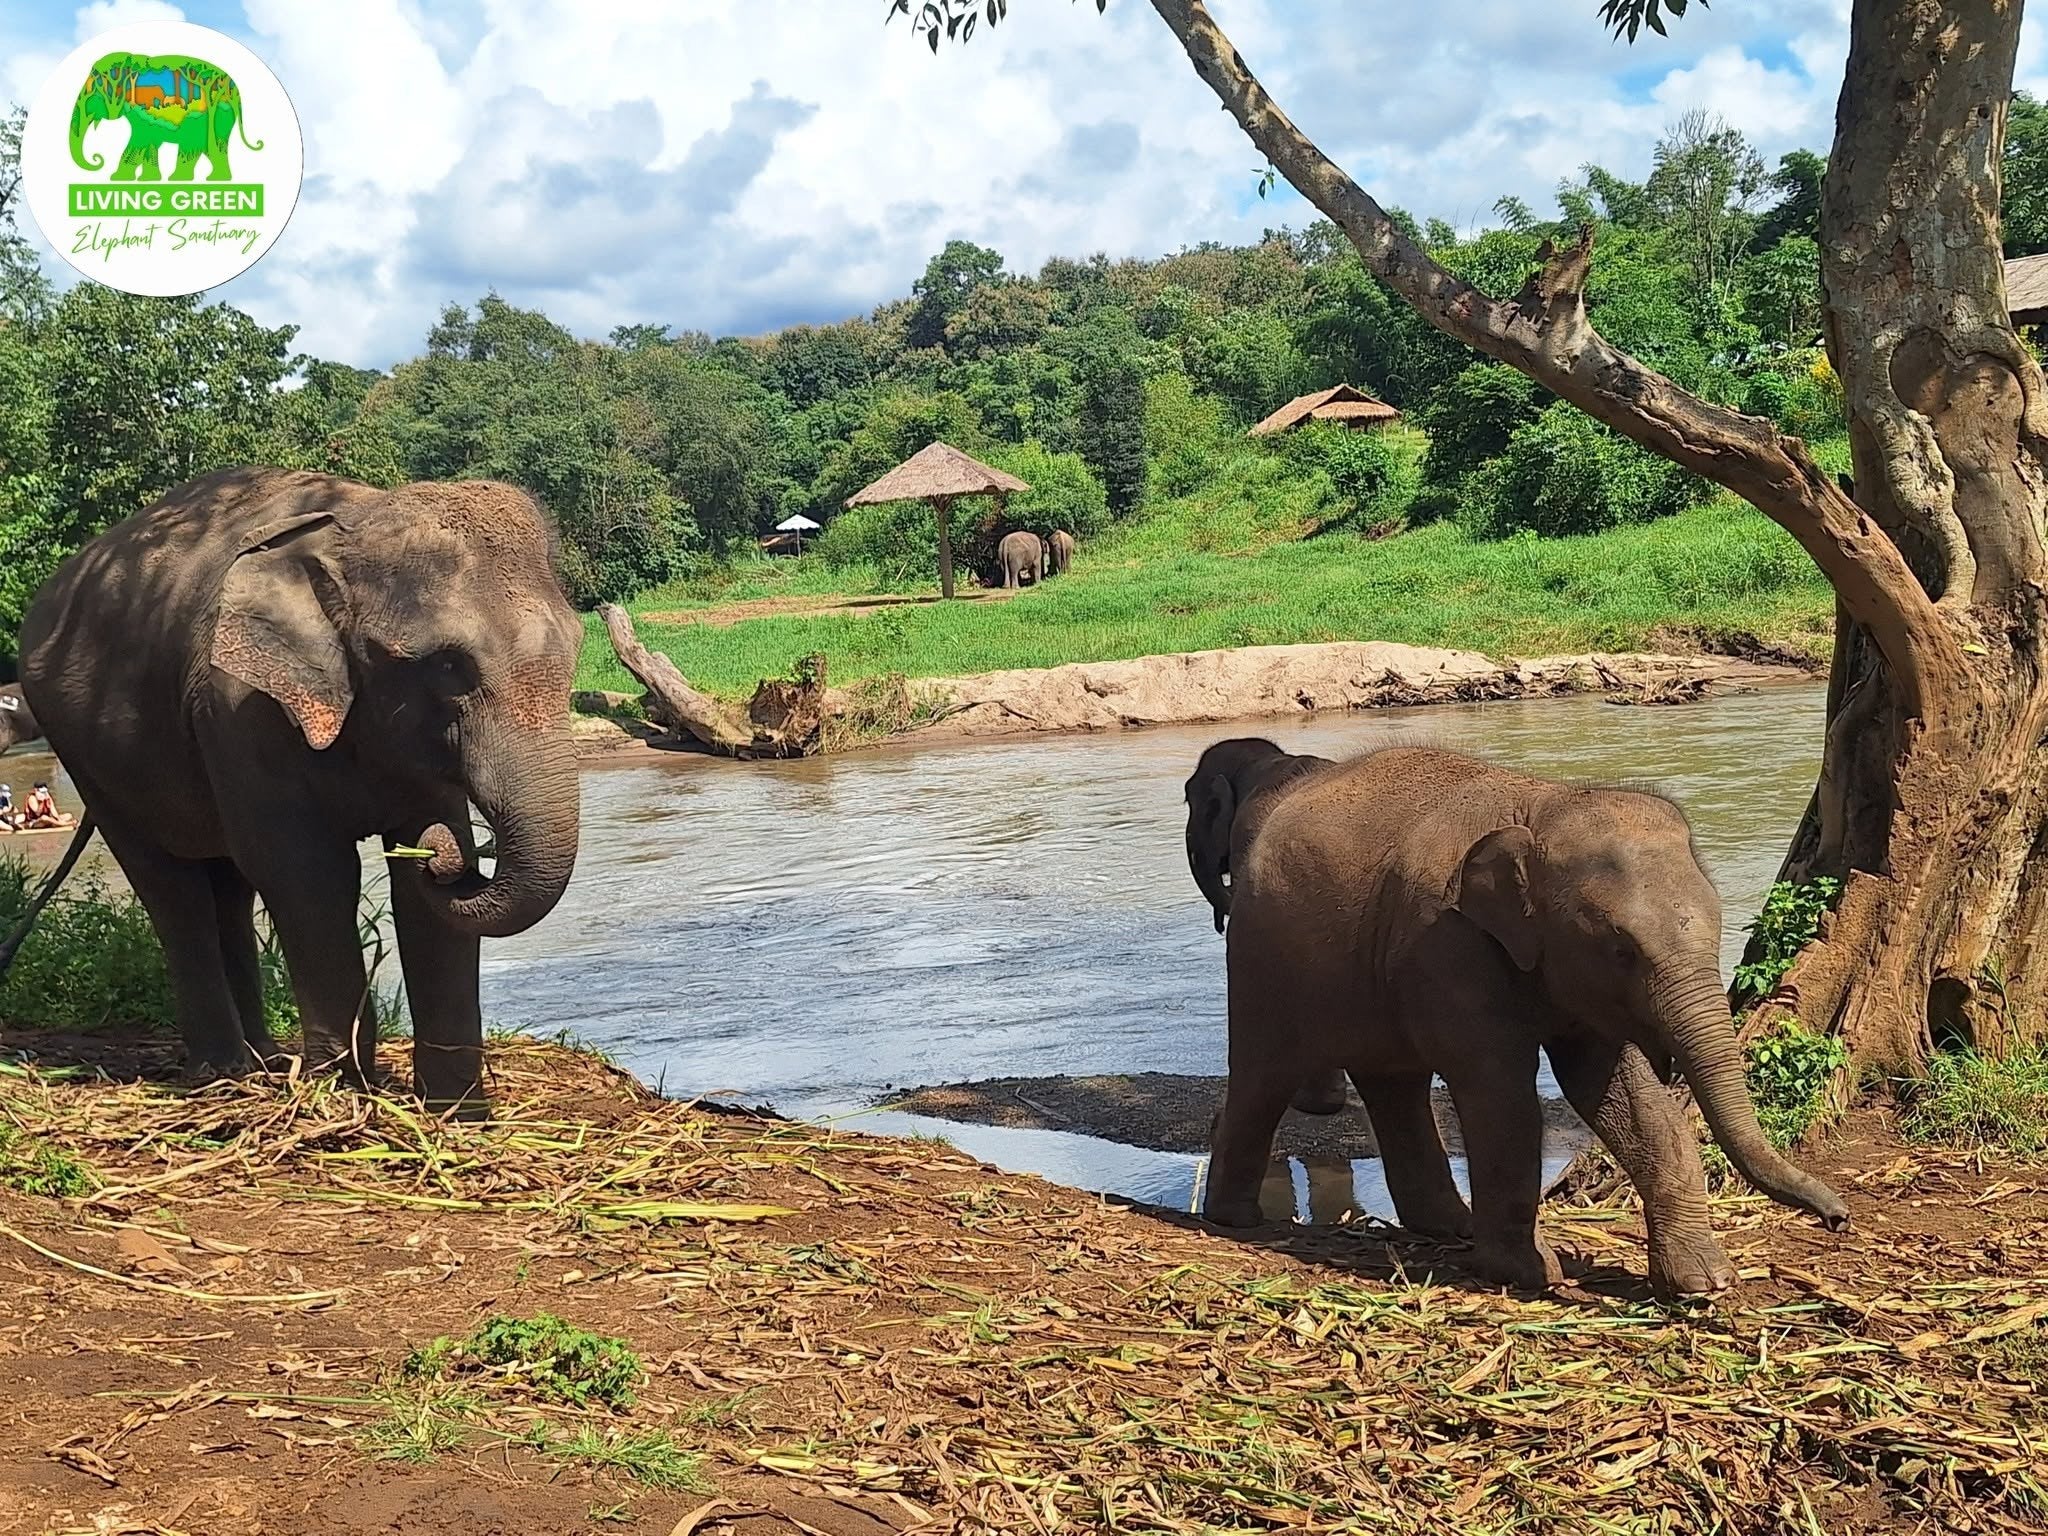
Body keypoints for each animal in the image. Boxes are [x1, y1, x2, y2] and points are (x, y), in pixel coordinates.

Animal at [16, 468, 583, 1110]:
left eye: (576, 647)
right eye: (446, 665)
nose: (446, 855)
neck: (349, 528)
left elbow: (416, 889)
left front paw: (457, 1114)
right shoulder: (240, 708)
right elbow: (308, 874)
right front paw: (343, 1097)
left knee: (228, 887)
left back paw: (262, 1063)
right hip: (85, 756)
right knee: (171, 889)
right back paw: (222, 1074)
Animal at [69, 53, 261, 183]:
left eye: (92, 92)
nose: (97, 159)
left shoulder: (142, 112)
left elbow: (139, 140)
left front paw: (117, 179)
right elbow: (151, 143)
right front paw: (147, 180)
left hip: (212, 118)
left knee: (196, 146)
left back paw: (182, 179)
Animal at [1190, 737, 1849, 1297]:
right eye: (1622, 950)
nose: (1839, 1217)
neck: (1544, 805)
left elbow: (1622, 1094)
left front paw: (1704, 1284)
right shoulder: (1445, 941)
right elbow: (1501, 1094)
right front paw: (1532, 1275)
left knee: (1395, 1084)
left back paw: (1447, 1227)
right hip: (1262, 955)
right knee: (1266, 1073)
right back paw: (1237, 1220)